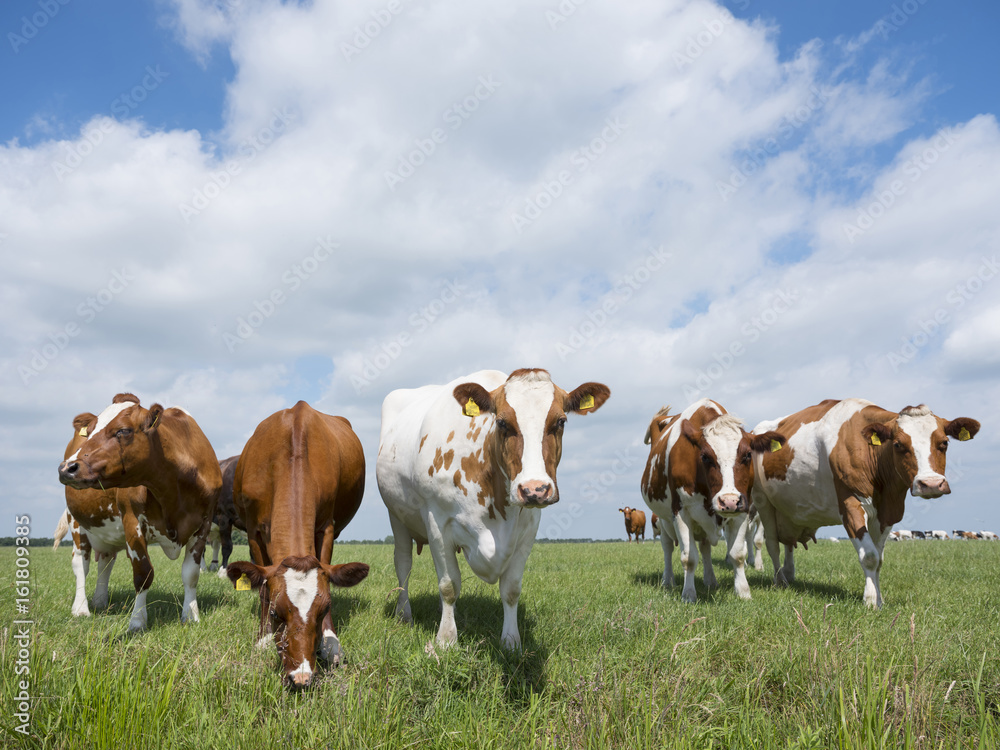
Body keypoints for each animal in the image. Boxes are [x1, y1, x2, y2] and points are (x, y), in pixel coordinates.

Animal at [225, 401, 369, 690]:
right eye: (276, 613)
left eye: (323, 609)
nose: (301, 677)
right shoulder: (254, 531)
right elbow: (263, 588)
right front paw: (263, 639)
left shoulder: (327, 526)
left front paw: (331, 643)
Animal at [377, 368, 610, 649]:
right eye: (502, 423)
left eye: (561, 421)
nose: (534, 489)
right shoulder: (437, 522)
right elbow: (449, 585)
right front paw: (446, 640)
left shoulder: (528, 529)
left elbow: (511, 590)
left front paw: (511, 641)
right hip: (396, 517)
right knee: (403, 564)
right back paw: (404, 614)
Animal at [640, 400, 787, 602]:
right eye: (705, 456)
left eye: (748, 455)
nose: (729, 501)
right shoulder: (680, 512)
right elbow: (689, 558)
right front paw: (688, 594)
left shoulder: (742, 509)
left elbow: (737, 554)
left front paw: (743, 592)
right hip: (663, 518)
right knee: (667, 546)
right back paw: (668, 581)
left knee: (705, 547)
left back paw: (710, 580)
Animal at [752, 399, 979, 608]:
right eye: (898, 444)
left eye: (944, 443)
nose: (931, 484)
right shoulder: (850, 505)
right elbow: (870, 556)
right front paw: (870, 601)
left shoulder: (886, 514)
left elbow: (879, 559)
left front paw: (879, 599)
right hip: (763, 503)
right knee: (771, 544)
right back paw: (780, 581)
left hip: (790, 512)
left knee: (788, 543)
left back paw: (789, 575)